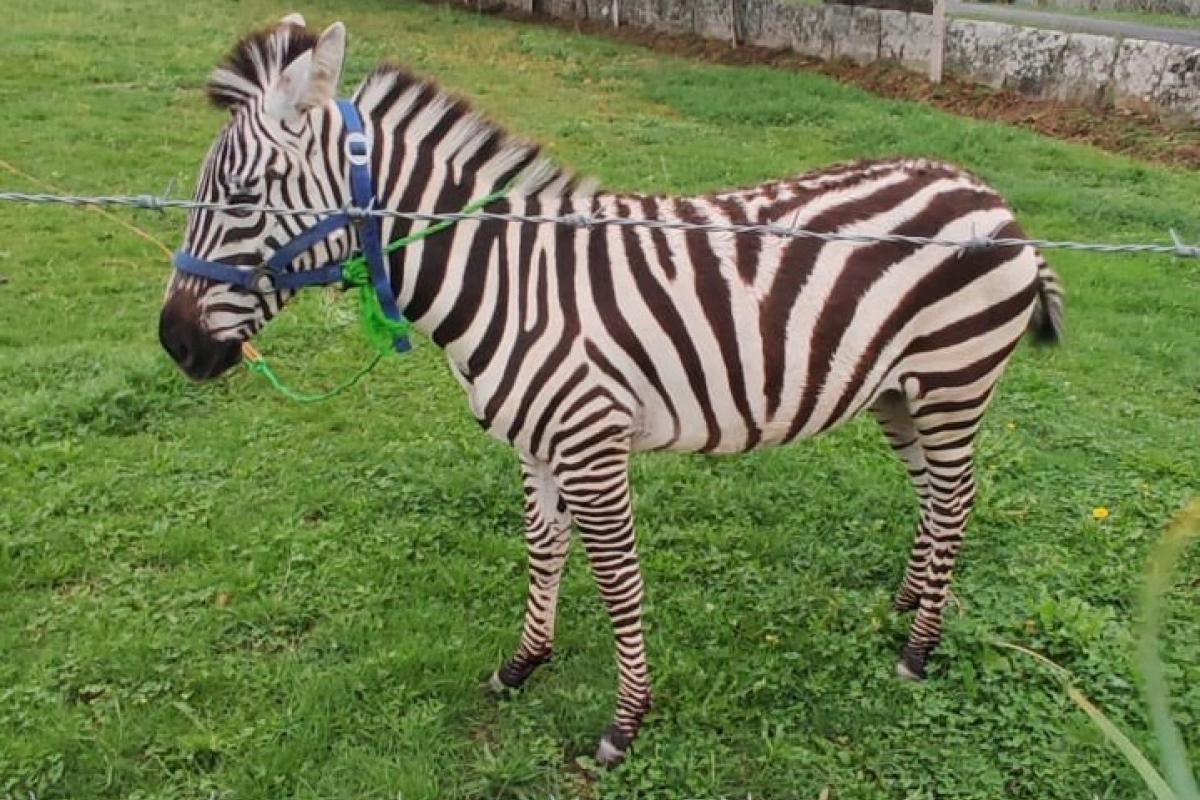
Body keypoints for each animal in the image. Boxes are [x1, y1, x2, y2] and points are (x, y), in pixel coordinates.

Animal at [158, 15, 1065, 765]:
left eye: (240, 197)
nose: (173, 343)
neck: (511, 280)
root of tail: (989, 195)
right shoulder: (534, 445)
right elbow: (543, 549)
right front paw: (523, 664)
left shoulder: (592, 447)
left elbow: (618, 577)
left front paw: (626, 722)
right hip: (899, 390)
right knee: (932, 496)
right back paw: (910, 601)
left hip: (954, 378)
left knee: (957, 499)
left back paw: (919, 648)